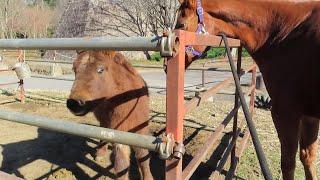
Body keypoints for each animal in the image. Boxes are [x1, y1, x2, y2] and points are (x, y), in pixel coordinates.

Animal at [66, 50, 152, 180]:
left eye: (100, 69)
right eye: (74, 69)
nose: (74, 103)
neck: (129, 101)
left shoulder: (141, 130)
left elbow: (143, 157)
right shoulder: (119, 135)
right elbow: (121, 165)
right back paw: (100, 153)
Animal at [176, 0, 320, 179]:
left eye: (181, 24)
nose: (166, 64)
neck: (285, 32)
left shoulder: (286, 113)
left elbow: (288, 164)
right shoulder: (309, 115)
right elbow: (308, 158)